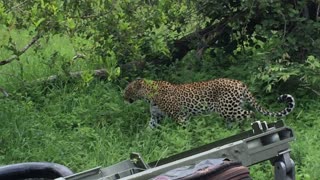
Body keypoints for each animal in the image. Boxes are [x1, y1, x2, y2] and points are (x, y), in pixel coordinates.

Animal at [122, 78, 296, 128]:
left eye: (127, 89)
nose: (122, 97)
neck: (149, 96)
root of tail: (239, 82)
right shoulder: (156, 117)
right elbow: (149, 129)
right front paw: (140, 144)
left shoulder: (180, 116)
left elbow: (184, 130)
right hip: (230, 109)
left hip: (227, 108)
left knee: (251, 113)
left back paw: (252, 127)